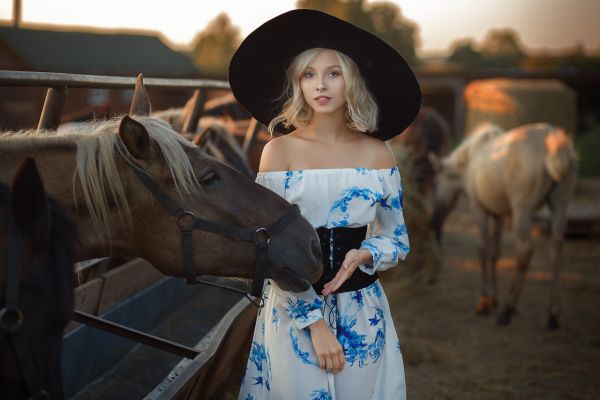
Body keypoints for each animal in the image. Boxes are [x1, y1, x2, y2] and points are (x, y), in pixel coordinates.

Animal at [428, 122, 580, 328]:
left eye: (435, 183)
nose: (433, 220)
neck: (468, 162)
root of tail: (556, 143)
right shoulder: (498, 213)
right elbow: (495, 252)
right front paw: (493, 298)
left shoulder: (479, 208)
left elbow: (483, 250)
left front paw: (484, 302)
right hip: (560, 203)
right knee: (556, 248)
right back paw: (552, 314)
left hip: (522, 208)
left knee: (524, 249)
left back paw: (508, 309)